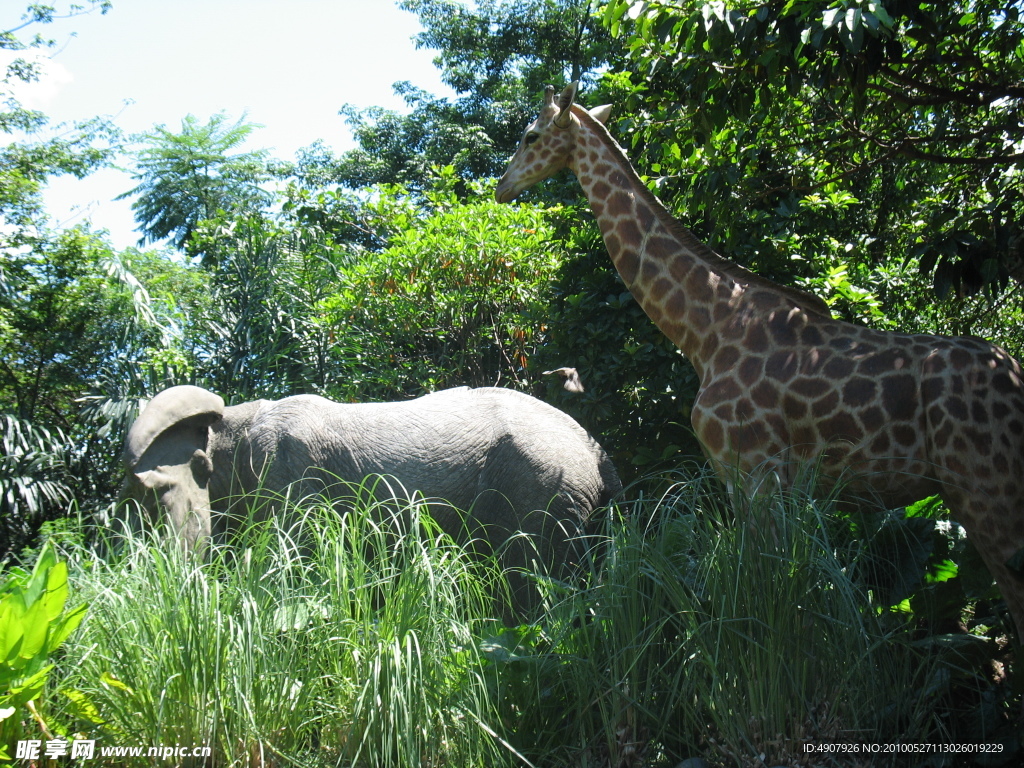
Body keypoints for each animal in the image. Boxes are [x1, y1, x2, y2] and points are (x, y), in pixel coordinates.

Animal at [118, 387, 614, 618]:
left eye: (153, 493)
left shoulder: (285, 474)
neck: (231, 422)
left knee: (531, 585)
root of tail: (599, 454)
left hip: (543, 489)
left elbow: (294, 561)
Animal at [493, 82, 1024, 643]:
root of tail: (1015, 377)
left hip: (984, 491)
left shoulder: (755, 468)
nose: (501, 187)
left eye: (530, 136)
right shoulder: (758, 479)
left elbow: (770, 593)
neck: (706, 332)